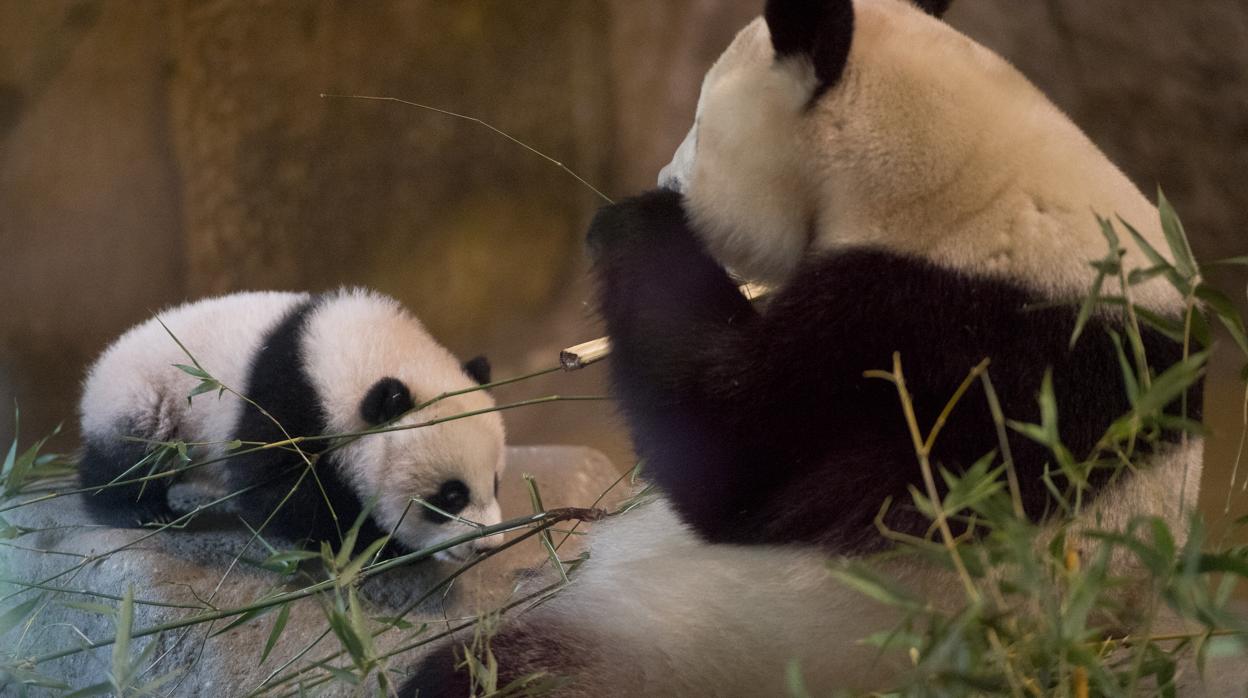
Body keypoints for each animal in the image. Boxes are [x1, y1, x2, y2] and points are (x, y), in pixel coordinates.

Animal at [79, 288, 501, 556]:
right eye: (451, 495)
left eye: (496, 484)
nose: (487, 546)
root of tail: (99, 367)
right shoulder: (285, 404)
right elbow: (278, 490)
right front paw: (370, 539)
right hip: (145, 396)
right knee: (128, 457)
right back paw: (139, 510)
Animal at [399, 0, 1198, 694]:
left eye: (698, 124)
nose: (664, 177)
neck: (975, 185)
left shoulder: (939, 340)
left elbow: (733, 452)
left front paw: (633, 221)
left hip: (709, 651)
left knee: (498, 672)